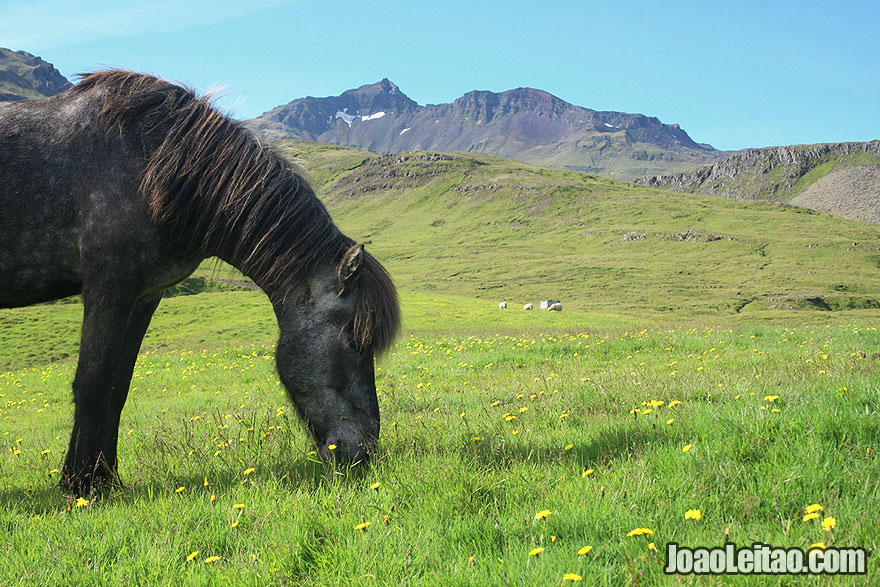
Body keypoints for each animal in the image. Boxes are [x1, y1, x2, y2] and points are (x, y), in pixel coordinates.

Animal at [0, 70, 398, 496]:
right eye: (354, 341)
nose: (364, 453)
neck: (154, 163)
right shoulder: (108, 287)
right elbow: (93, 383)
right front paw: (81, 485)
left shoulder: (143, 295)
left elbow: (117, 387)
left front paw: (107, 480)